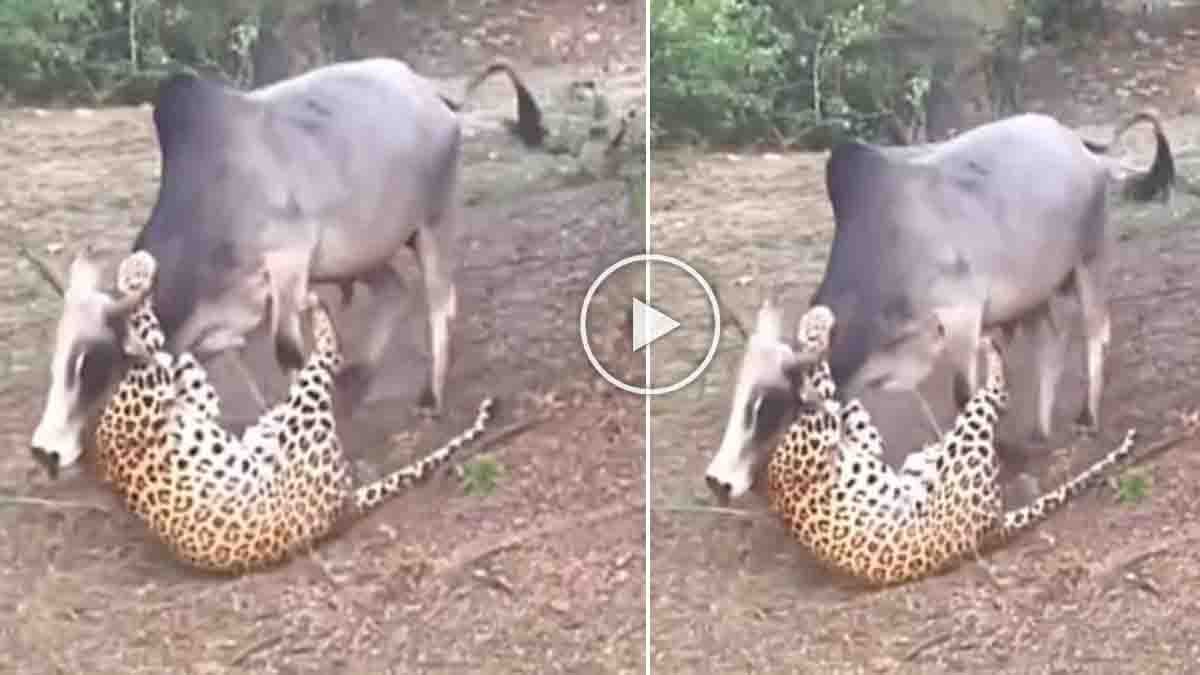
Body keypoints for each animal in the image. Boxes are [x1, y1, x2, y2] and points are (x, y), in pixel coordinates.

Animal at [28, 57, 545, 475]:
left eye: (91, 363)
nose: (44, 452)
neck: (212, 201)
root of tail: (429, 91)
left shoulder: (287, 265)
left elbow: (289, 353)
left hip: (433, 223)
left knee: (439, 302)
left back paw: (430, 397)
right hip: (360, 252)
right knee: (395, 292)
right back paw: (355, 383)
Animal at [92, 250, 494, 574]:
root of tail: (343, 503)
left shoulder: (191, 396)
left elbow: (177, 358)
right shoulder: (146, 391)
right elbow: (154, 341)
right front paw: (135, 275)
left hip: (275, 426)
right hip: (303, 417)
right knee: (328, 357)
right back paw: (311, 304)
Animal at [705, 111, 1174, 501]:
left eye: (766, 407)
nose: (717, 481)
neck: (889, 250)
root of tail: (1081, 146)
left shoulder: (962, 318)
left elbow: (965, 396)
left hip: (1089, 261)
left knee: (1096, 332)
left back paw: (1087, 417)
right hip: (1034, 293)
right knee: (1052, 345)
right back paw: (1040, 432)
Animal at [766, 304, 1139, 586]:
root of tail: (992, 525)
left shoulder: (854, 437)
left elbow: (848, 409)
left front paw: (819, 328)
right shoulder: (817, 428)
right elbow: (821, 383)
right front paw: (815, 326)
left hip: (932, 464)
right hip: (967, 443)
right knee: (996, 397)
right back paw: (987, 347)